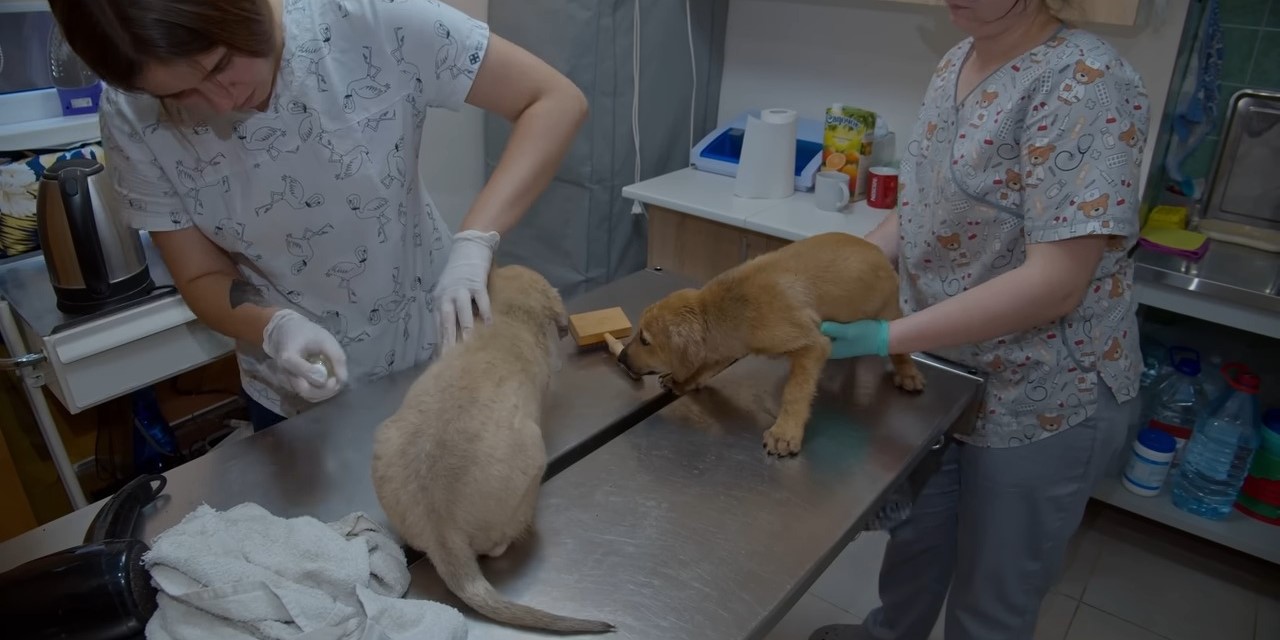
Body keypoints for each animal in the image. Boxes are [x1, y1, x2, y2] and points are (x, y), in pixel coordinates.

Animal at [616, 232, 926, 458]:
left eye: (645, 340)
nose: (620, 359)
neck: (725, 306)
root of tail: (882, 256)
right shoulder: (729, 346)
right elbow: (703, 368)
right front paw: (680, 381)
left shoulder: (811, 343)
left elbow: (795, 392)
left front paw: (785, 432)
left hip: (889, 310)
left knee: (899, 345)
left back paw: (907, 373)